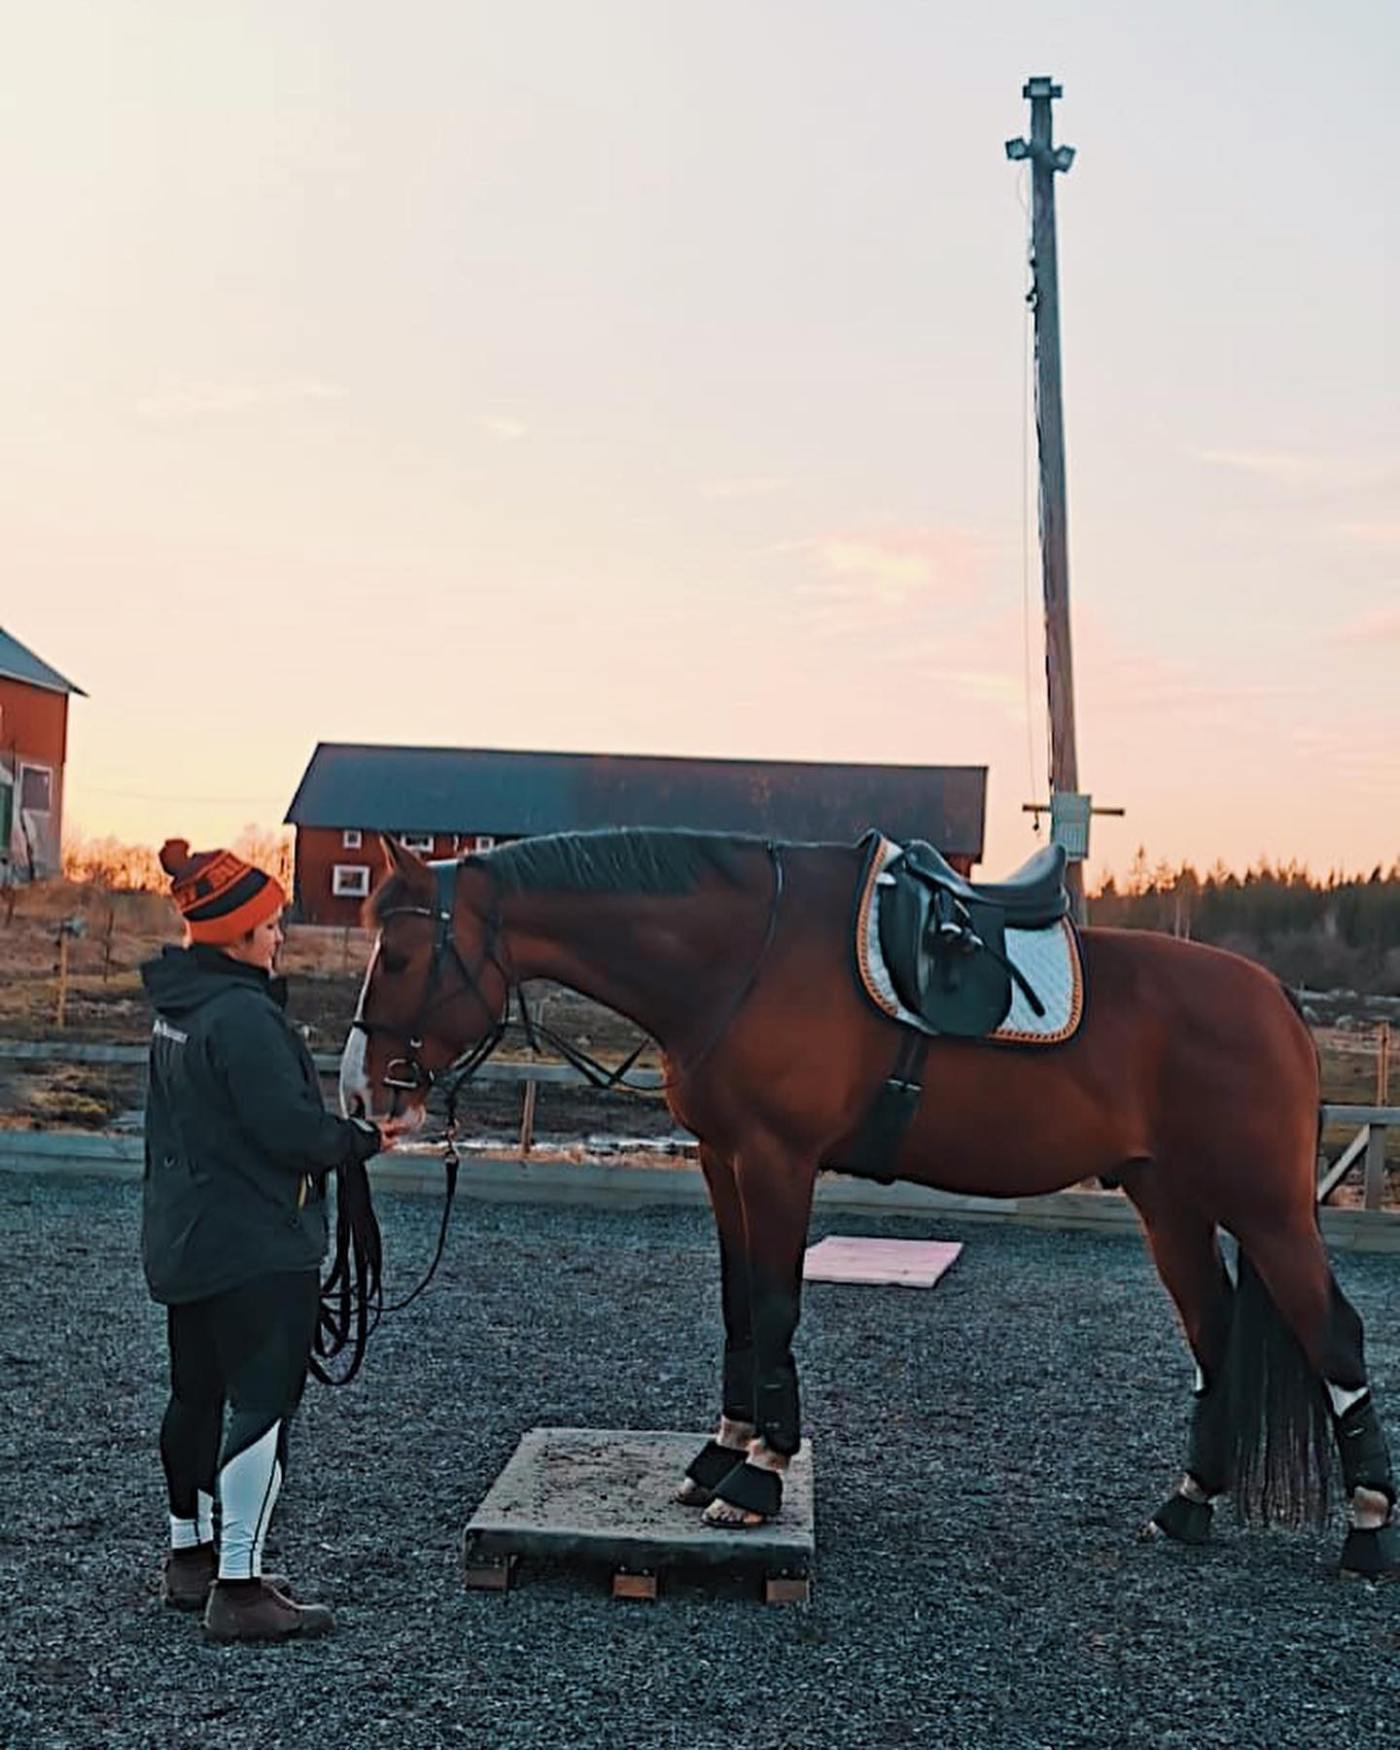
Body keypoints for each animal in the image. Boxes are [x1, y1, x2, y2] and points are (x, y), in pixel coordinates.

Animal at [337, 828, 1397, 1577]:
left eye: (400, 959)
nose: (362, 1094)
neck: (741, 956)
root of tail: (1277, 1002)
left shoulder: (779, 1160)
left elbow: (775, 1306)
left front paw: (758, 1480)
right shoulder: (724, 1160)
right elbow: (738, 1308)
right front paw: (721, 1454)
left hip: (1268, 1210)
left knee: (1333, 1337)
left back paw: (1367, 1532)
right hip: (1168, 1200)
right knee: (1216, 1336)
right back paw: (1188, 1504)